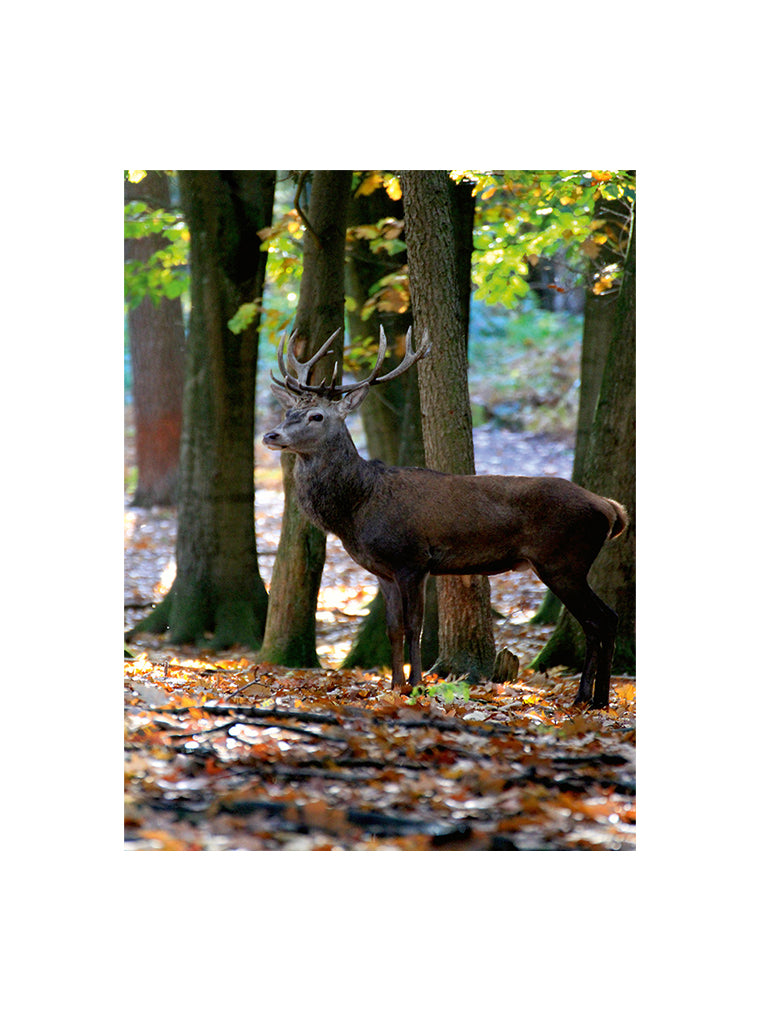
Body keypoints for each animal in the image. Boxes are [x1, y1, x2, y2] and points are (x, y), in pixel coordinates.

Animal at [263, 327, 629, 709]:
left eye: (316, 416)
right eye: (288, 411)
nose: (271, 435)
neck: (358, 507)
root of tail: (611, 509)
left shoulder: (413, 559)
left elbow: (415, 626)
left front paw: (417, 686)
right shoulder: (382, 571)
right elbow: (393, 627)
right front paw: (394, 687)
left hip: (563, 560)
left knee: (604, 618)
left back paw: (600, 699)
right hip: (565, 564)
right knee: (594, 622)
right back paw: (584, 697)